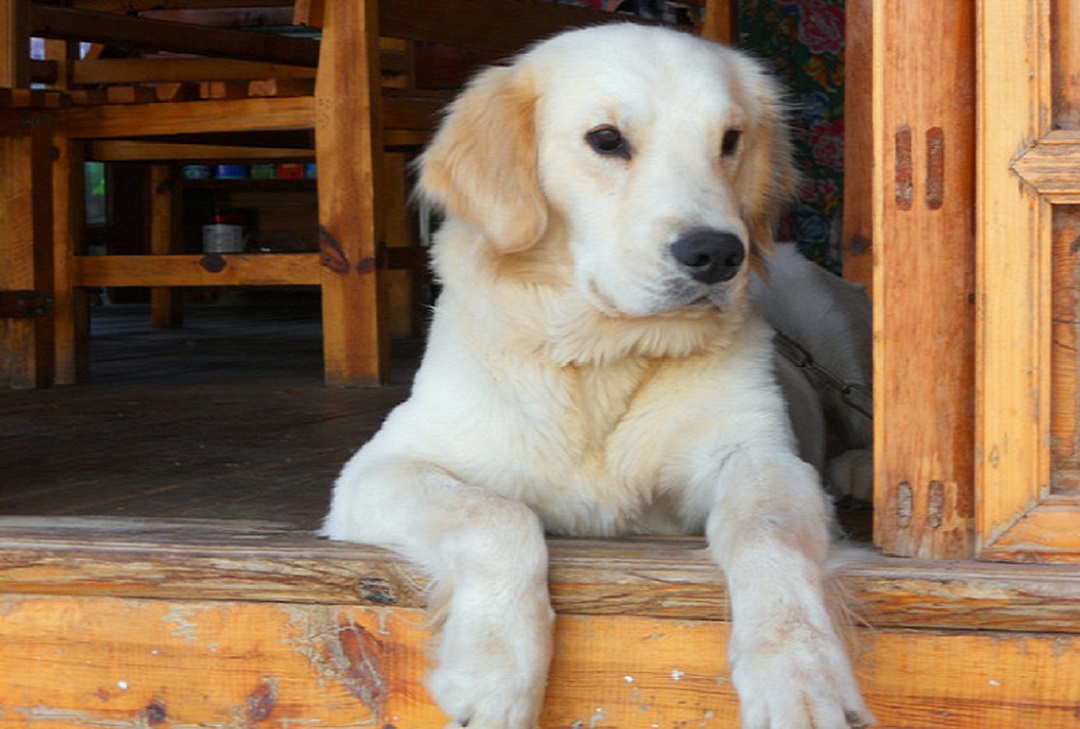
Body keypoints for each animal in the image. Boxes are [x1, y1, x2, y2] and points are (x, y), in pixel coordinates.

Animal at [324, 24, 873, 729]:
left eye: (730, 140)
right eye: (606, 140)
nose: (718, 254)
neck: (604, 355)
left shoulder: (760, 456)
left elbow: (767, 534)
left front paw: (800, 675)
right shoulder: (380, 470)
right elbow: (497, 517)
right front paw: (493, 671)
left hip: (826, 323)